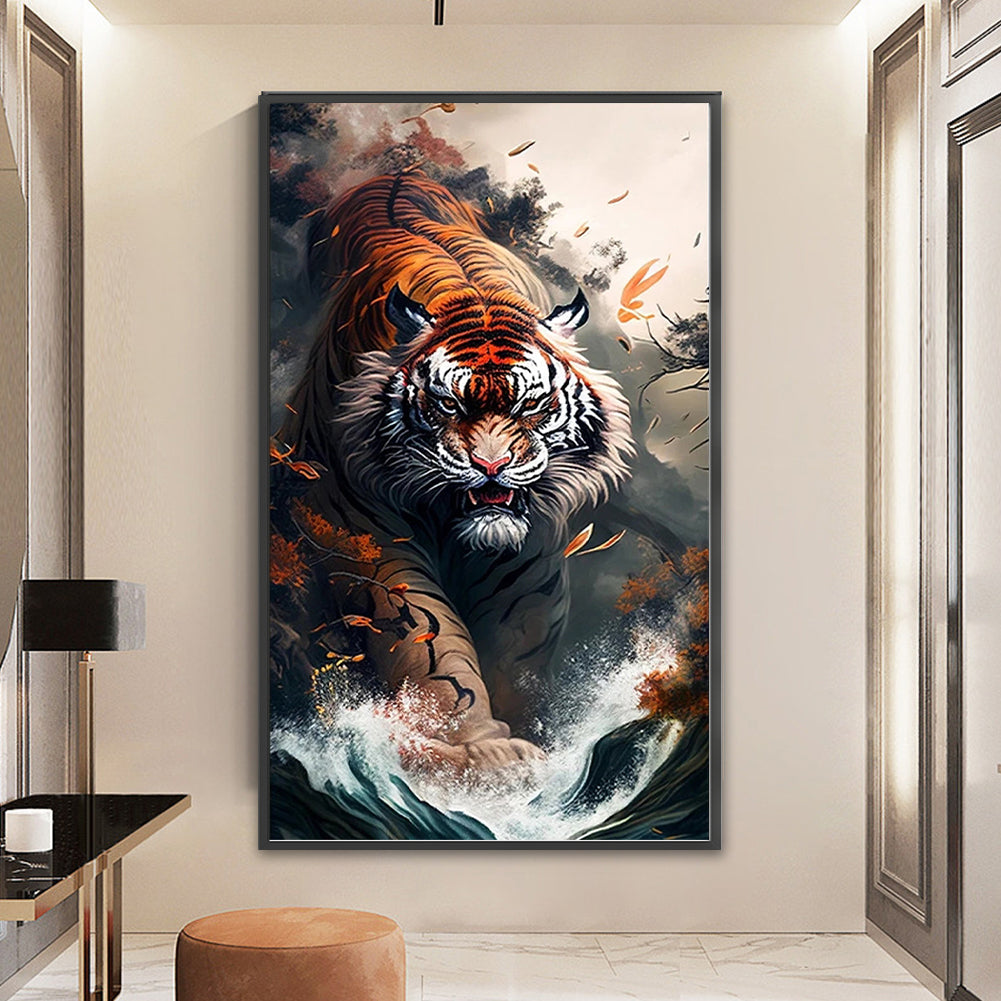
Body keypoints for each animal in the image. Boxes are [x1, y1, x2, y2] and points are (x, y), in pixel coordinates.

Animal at [272, 172, 634, 771]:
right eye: (446, 405)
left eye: (530, 405)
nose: (491, 465)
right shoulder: (363, 529)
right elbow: (427, 635)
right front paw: (476, 749)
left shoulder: (526, 556)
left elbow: (518, 647)